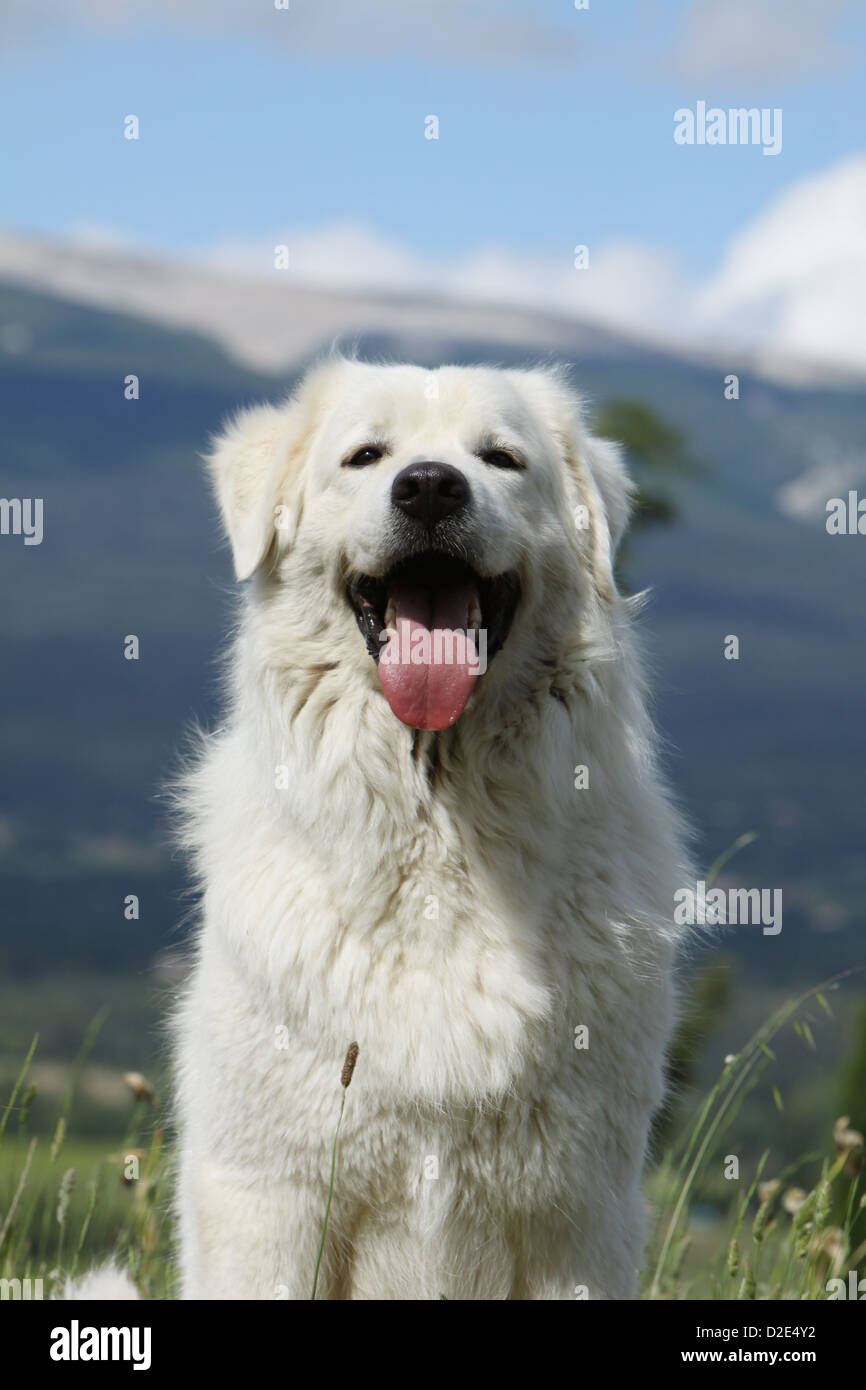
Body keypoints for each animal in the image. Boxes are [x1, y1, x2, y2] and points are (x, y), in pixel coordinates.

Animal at [173, 361, 686, 1301]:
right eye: (367, 457)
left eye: (501, 458)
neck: (443, 835)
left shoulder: (575, 1218)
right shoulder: (271, 1198)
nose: (431, 487)